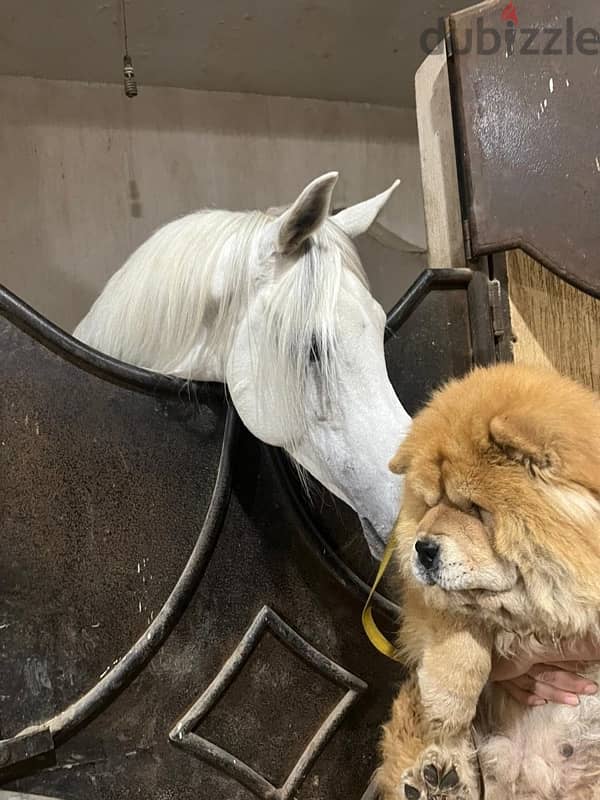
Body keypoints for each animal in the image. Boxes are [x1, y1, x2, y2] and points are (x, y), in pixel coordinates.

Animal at [378, 366, 596, 800]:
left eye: (475, 509)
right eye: (430, 504)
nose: (422, 548)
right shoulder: (429, 601)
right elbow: (459, 623)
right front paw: (447, 700)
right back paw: (437, 778)